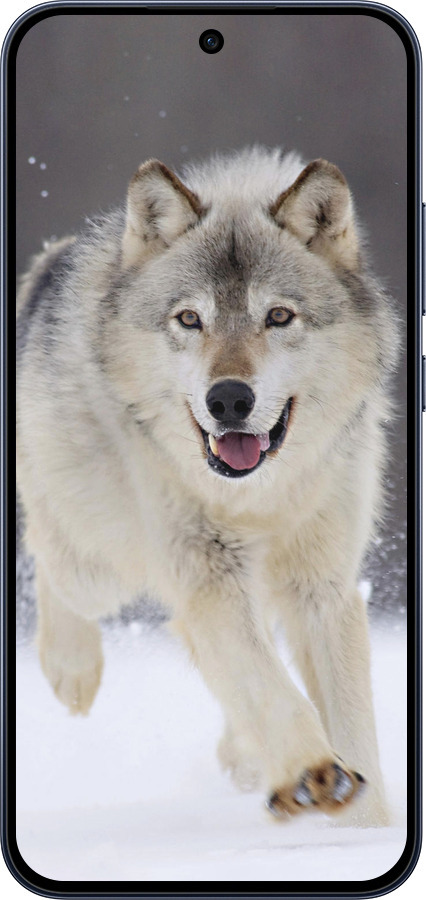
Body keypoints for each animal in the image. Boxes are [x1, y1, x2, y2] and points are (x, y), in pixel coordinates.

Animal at [16, 147, 397, 826]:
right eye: (190, 319)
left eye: (278, 316)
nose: (229, 400)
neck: (259, 497)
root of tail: (51, 261)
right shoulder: (207, 574)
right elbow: (269, 686)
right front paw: (312, 773)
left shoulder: (322, 586)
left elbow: (350, 723)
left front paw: (365, 826)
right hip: (101, 565)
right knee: (49, 556)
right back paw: (72, 671)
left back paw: (243, 756)